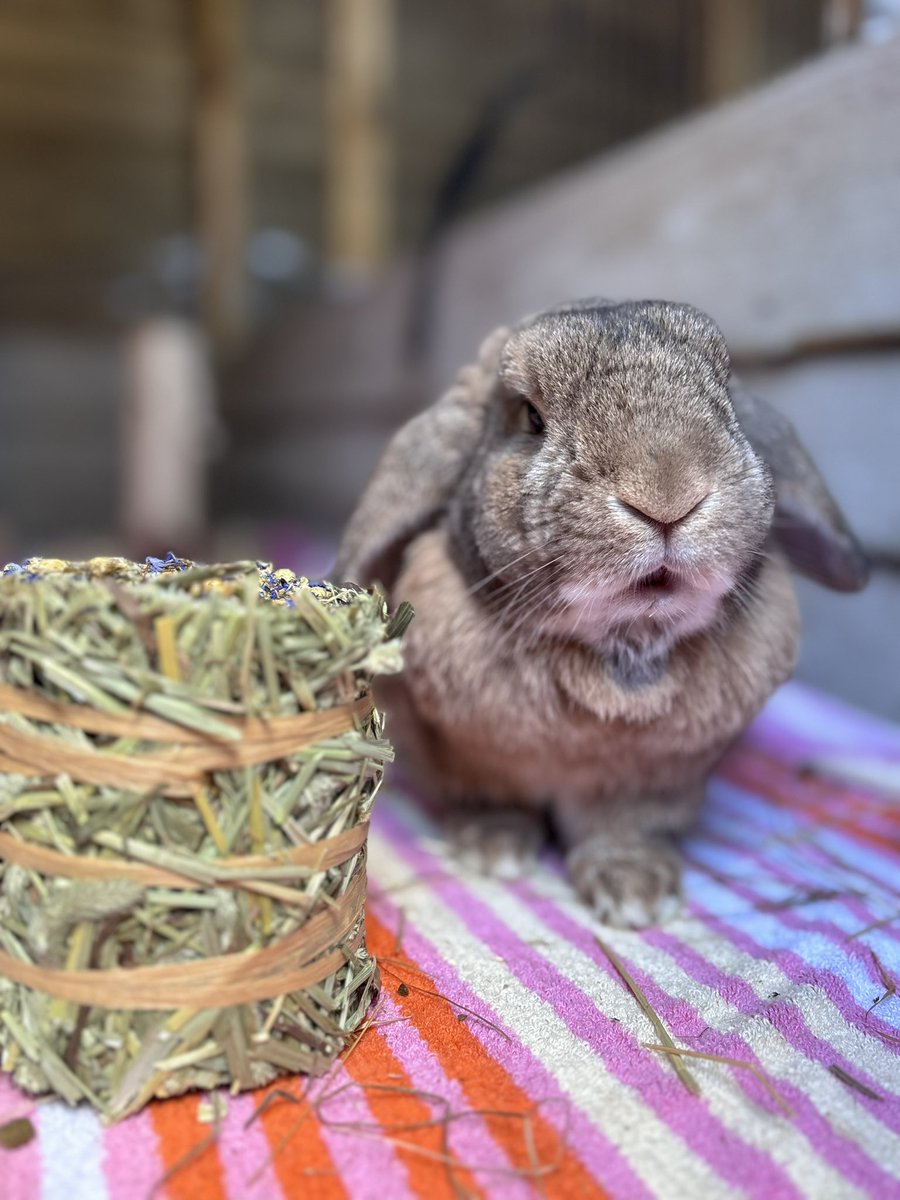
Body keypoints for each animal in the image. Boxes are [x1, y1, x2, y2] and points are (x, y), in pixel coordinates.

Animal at [335, 299, 868, 928]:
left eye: (727, 397)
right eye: (530, 418)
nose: (667, 495)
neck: (625, 647)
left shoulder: (654, 782)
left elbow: (623, 830)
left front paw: (637, 898)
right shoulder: (473, 763)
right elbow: (492, 800)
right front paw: (492, 852)